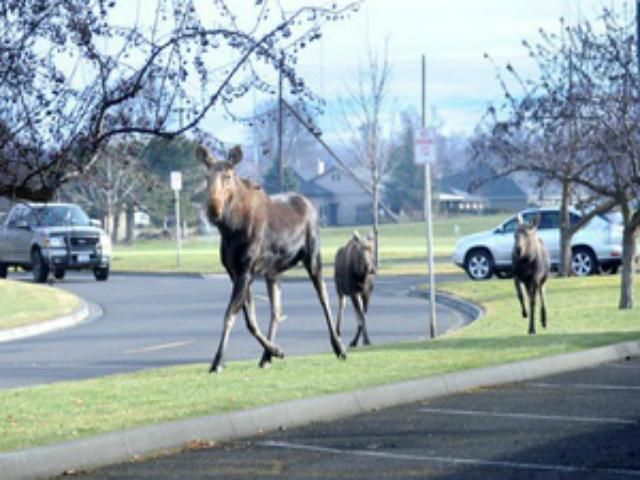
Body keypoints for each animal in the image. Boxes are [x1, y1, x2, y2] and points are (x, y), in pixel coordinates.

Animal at [196, 144, 344, 374]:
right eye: (206, 176)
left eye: (228, 176)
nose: (213, 208)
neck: (230, 229)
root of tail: (310, 204)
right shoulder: (235, 273)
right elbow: (250, 320)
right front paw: (275, 350)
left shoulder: (246, 271)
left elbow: (230, 315)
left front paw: (217, 361)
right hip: (273, 272)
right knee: (277, 311)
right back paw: (267, 356)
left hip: (313, 257)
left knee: (324, 297)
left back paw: (339, 346)